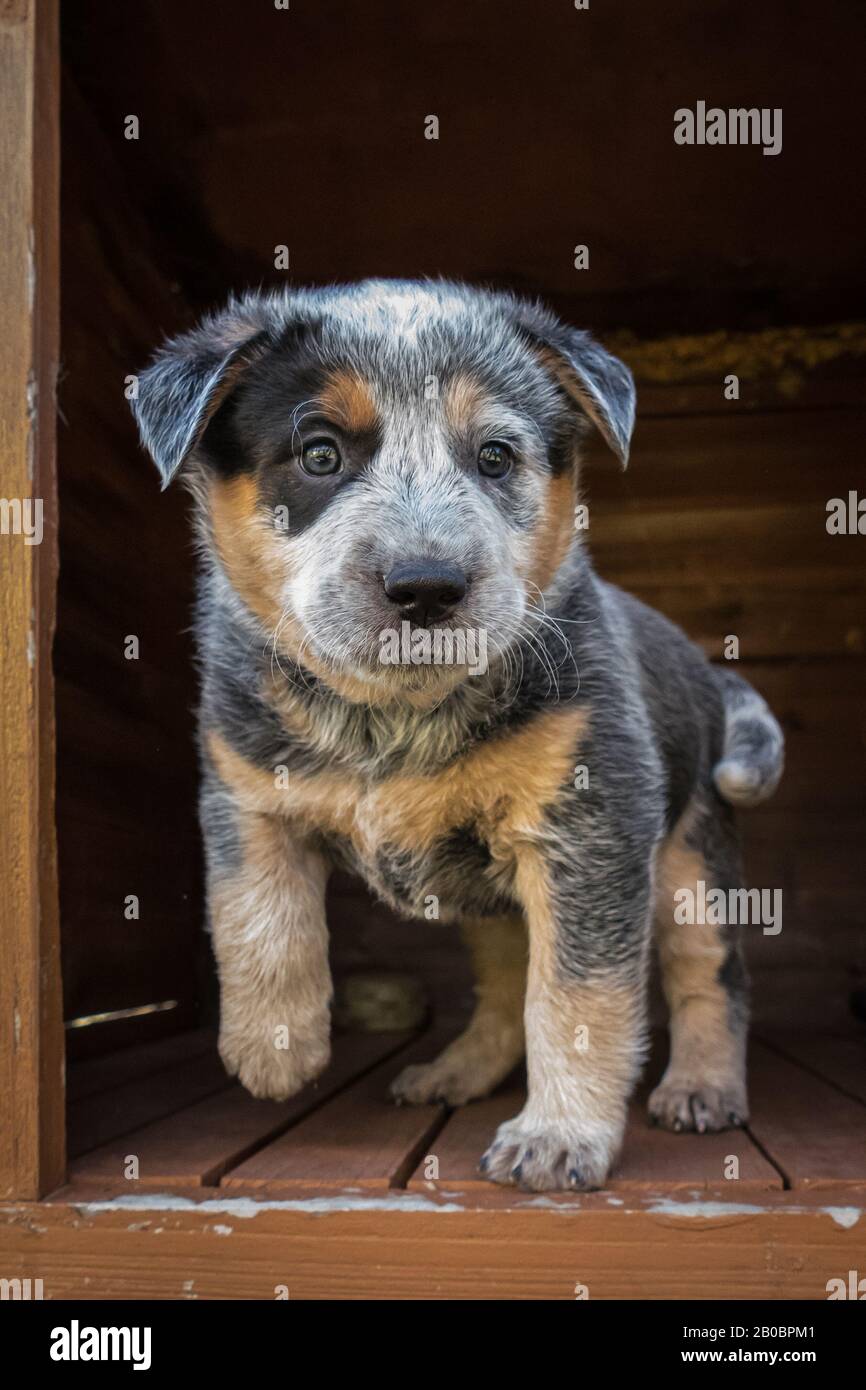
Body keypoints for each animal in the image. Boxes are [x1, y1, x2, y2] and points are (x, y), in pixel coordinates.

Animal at [130, 276, 783, 1189]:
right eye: (320, 455)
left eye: (496, 457)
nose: (426, 586)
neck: (389, 722)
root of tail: (700, 665)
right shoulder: (242, 786)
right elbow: (257, 912)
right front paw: (273, 1047)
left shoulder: (594, 830)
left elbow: (576, 999)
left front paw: (559, 1135)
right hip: (489, 900)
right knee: (506, 987)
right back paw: (456, 1071)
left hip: (693, 861)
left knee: (710, 976)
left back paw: (702, 1087)